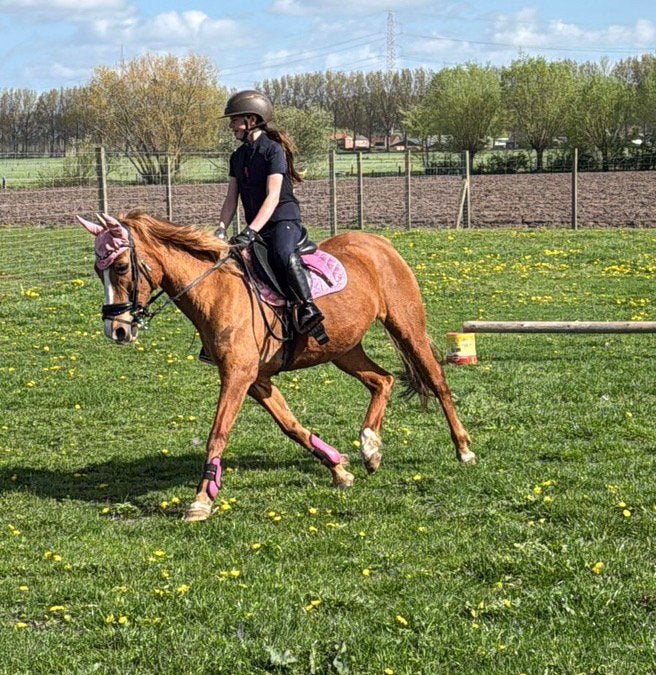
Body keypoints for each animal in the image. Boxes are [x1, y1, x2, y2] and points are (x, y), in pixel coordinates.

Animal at [77, 211, 474, 521]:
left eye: (122, 266)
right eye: (98, 271)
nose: (117, 330)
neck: (218, 290)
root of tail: (380, 243)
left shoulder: (238, 376)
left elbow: (218, 432)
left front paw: (201, 501)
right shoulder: (258, 380)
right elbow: (291, 426)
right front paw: (339, 469)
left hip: (407, 327)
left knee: (437, 381)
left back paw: (463, 449)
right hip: (343, 348)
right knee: (383, 380)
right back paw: (370, 447)